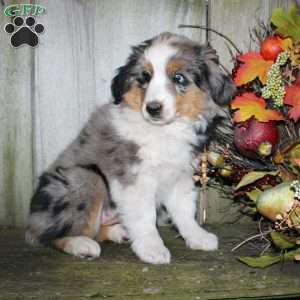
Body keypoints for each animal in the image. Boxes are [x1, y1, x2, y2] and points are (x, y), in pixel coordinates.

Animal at [25, 31, 236, 264]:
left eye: (178, 78)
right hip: (86, 178)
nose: (153, 108)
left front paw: (197, 237)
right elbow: (145, 217)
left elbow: (184, 211)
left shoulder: (179, 175)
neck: (164, 131)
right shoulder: (133, 178)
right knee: (47, 235)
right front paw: (152, 248)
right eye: (145, 77)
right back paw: (81, 244)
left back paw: (120, 232)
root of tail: (33, 218)